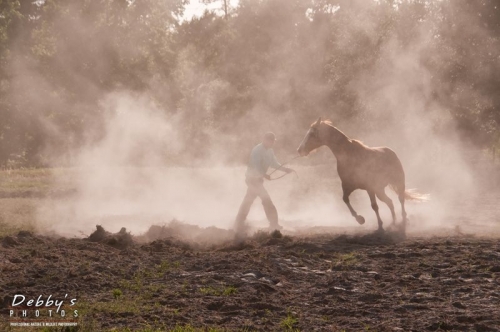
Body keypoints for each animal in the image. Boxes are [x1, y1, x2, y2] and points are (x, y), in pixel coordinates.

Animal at [296, 117, 426, 231]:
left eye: (312, 134)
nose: (299, 150)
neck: (350, 155)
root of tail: (391, 151)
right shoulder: (348, 186)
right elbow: (345, 199)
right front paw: (360, 219)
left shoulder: (369, 188)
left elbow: (374, 206)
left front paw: (380, 225)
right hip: (379, 190)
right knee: (390, 202)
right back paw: (393, 223)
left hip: (398, 183)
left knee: (401, 199)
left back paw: (403, 220)